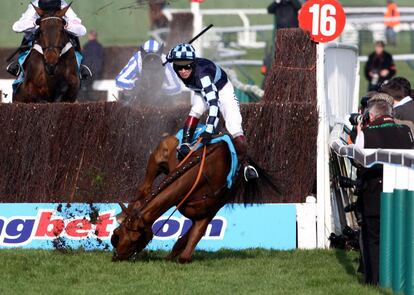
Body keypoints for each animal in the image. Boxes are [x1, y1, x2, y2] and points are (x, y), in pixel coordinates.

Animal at [111, 135, 278, 264]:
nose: (116, 256)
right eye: (119, 232)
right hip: (155, 162)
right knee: (144, 190)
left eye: (135, 238)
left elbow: (184, 250)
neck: (204, 174)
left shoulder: (206, 214)